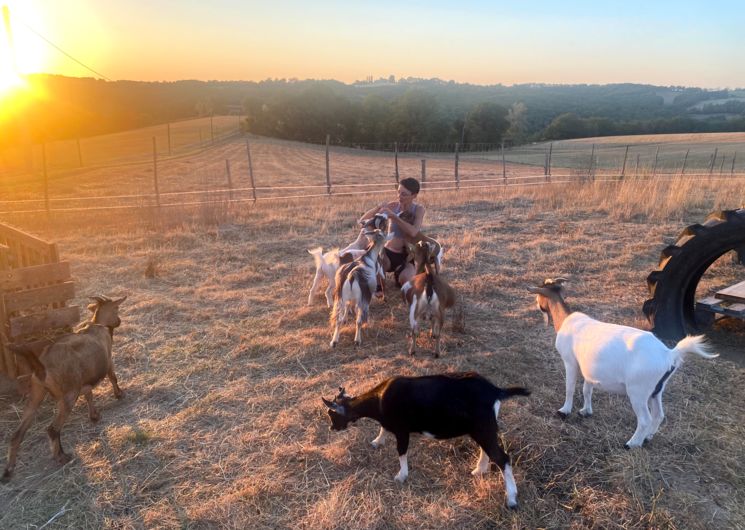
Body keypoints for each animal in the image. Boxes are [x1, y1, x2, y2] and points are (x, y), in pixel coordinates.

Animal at [1, 292, 126, 478]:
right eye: (116, 308)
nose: (118, 321)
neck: (99, 325)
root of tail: (42, 366)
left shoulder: (83, 380)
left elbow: (89, 394)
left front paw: (94, 415)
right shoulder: (108, 360)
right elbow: (113, 378)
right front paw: (119, 395)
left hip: (37, 393)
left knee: (17, 434)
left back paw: (8, 470)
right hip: (67, 396)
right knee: (53, 429)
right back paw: (61, 456)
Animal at [320, 370, 528, 506]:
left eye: (332, 414)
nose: (331, 427)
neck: (379, 400)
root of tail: (495, 390)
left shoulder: (402, 430)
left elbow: (401, 451)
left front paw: (401, 475)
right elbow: (383, 428)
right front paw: (377, 442)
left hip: (483, 428)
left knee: (502, 458)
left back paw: (511, 499)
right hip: (481, 430)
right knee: (488, 451)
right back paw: (479, 470)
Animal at [528, 276, 716, 446]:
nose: (537, 305)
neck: (565, 321)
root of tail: (669, 354)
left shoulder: (570, 362)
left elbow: (570, 388)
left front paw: (564, 411)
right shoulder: (589, 369)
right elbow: (586, 389)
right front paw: (585, 411)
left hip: (638, 390)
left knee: (645, 419)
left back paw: (632, 444)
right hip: (657, 389)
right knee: (659, 415)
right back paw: (647, 438)